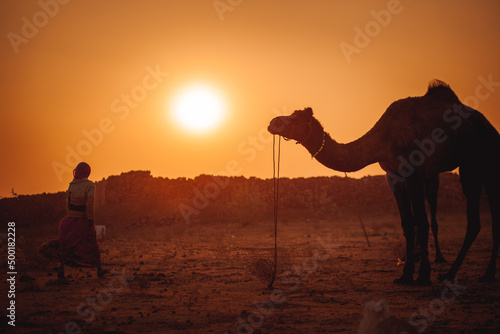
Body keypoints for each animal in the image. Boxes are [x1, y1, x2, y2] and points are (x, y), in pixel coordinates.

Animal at [270, 80, 500, 284]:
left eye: (297, 119)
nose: (273, 122)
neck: (384, 138)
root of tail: (491, 128)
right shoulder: (394, 176)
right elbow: (407, 224)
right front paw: (405, 276)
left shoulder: (415, 172)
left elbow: (422, 222)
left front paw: (423, 276)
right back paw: (469, 274)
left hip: (481, 164)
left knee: (480, 217)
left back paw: (470, 274)